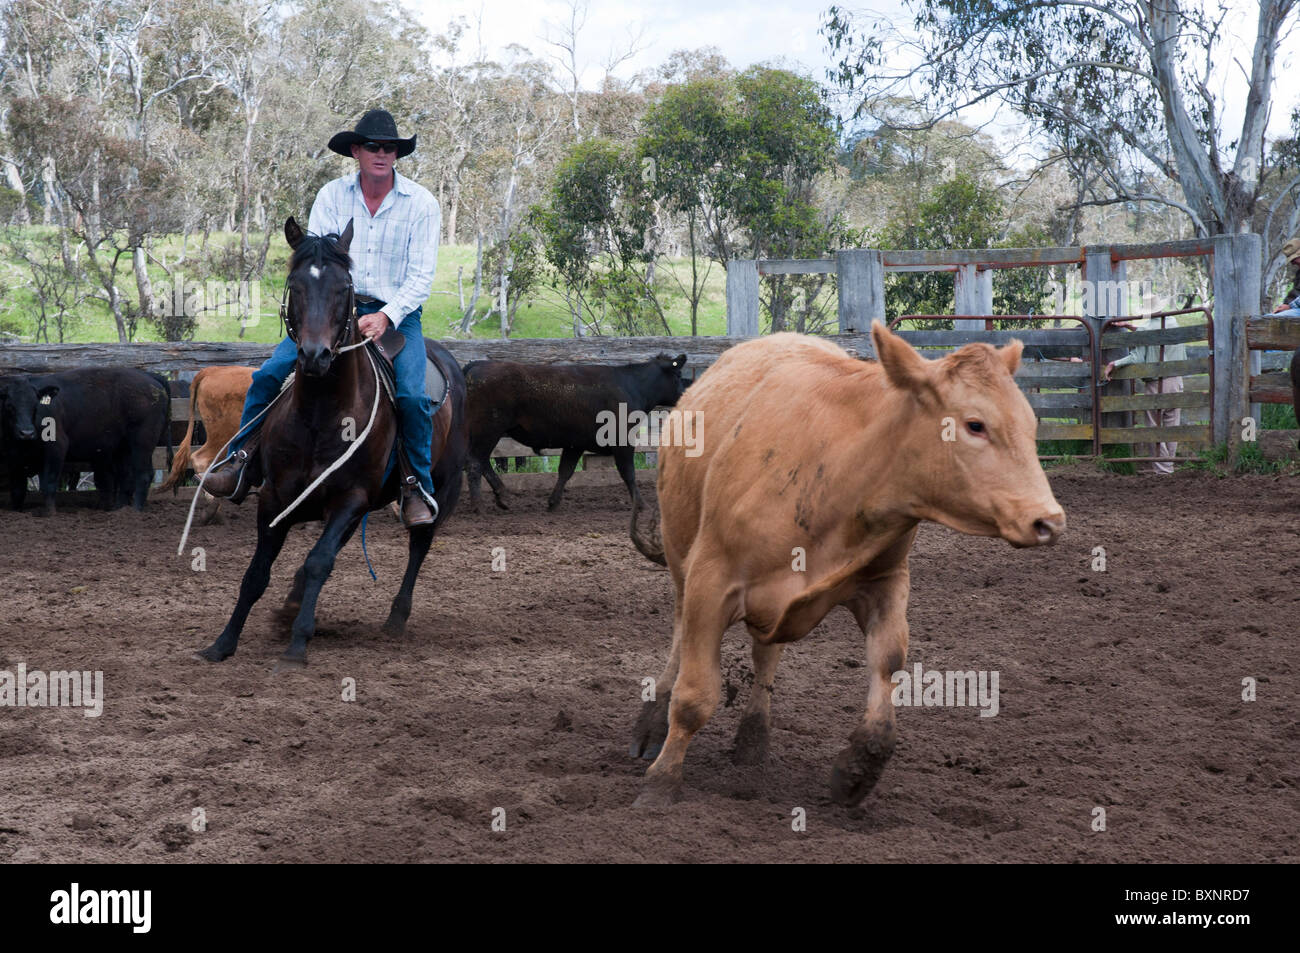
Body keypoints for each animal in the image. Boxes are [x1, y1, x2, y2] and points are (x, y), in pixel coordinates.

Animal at [1, 366, 171, 512]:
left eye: (35, 406)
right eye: (9, 406)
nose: (26, 433)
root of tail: (151, 377)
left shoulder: (56, 447)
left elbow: (48, 483)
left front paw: (48, 513)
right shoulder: (13, 456)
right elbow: (18, 489)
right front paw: (17, 511)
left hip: (142, 441)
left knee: (143, 475)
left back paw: (135, 510)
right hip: (123, 447)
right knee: (126, 477)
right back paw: (119, 510)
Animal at [467, 351, 691, 512]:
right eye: (678, 374)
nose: (687, 391)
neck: (632, 387)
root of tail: (475, 366)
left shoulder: (575, 444)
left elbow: (565, 471)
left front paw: (553, 502)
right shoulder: (622, 441)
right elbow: (628, 473)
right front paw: (641, 504)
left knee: (480, 461)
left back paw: (500, 497)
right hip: (488, 429)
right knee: (476, 462)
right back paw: (480, 505)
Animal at [629, 323, 1066, 806]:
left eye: (1030, 424)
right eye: (975, 425)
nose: (1048, 520)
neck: (840, 470)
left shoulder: (886, 582)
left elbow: (888, 661)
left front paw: (860, 767)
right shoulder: (711, 579)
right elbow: (694, 695)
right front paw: (661, 780)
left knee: (766, 655)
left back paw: (754, 739)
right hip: (679, 554)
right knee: (679, 631)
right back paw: (652, 724)